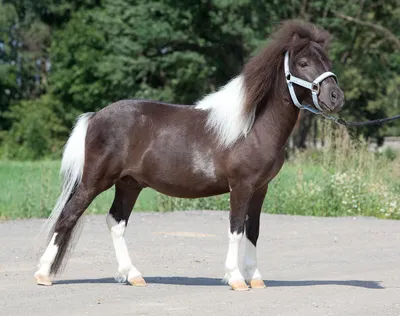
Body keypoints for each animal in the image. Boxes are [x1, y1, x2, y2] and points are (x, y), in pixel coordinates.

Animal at [34, 19, 344, 292]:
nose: (336, 97)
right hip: (95, 182)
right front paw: (235, 279)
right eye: (303, 63)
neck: (253, 126)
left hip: (129, 184)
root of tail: (95, 116)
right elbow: (236, 229)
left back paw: (133, 275)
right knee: (68, 216)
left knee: (116, 222)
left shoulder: (260, 189)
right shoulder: (241, 187)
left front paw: (255, 278)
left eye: (328, 62)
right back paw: (43, 274)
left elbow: (252, 231)